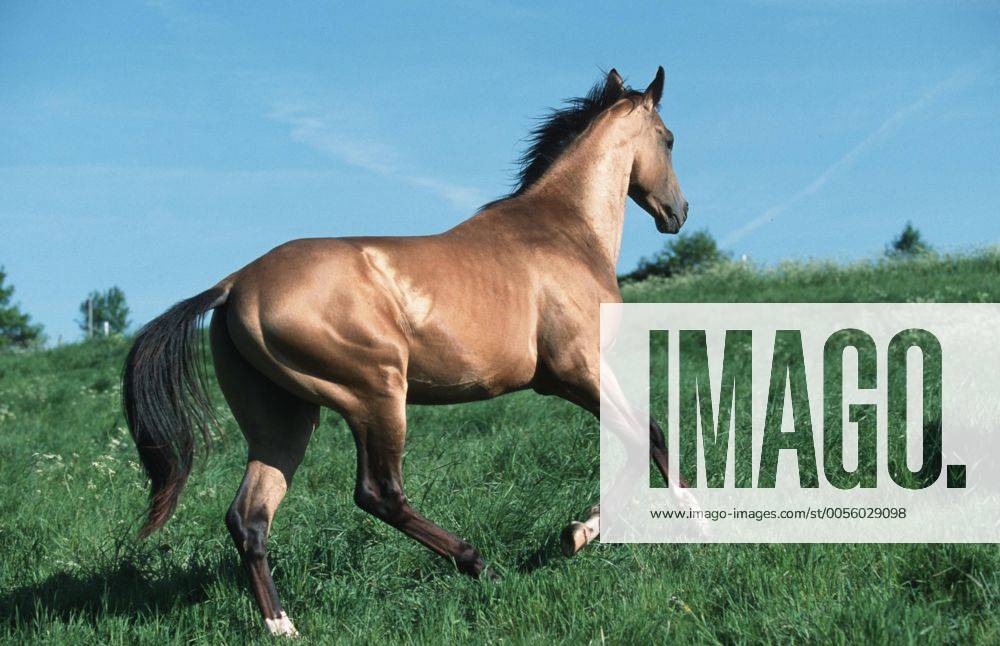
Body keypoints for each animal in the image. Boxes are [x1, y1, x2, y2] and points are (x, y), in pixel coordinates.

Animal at [122, 66, 688, 637]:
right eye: (669, 139)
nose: (678, 213)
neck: (564, 233)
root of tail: (235, 284)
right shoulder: (577, 371)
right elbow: (646, 433)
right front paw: (642, 520)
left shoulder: (574, 376)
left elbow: (642, 433)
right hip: (375, 395)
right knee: (378, 493)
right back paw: (480, 565)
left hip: (282, 420)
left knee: (249, 516)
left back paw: (284, 626)